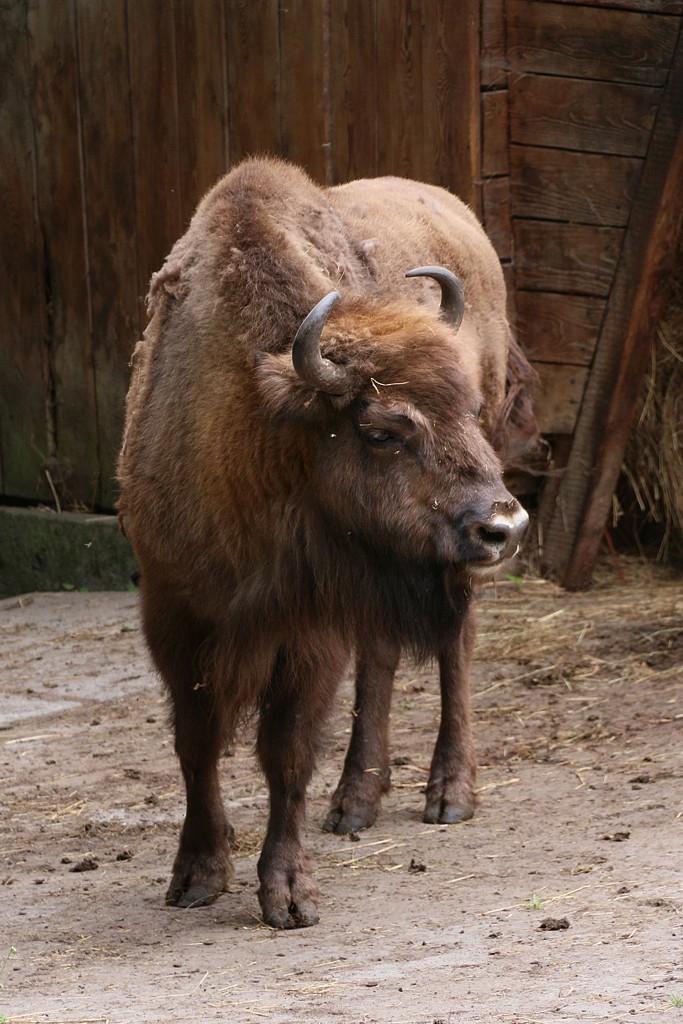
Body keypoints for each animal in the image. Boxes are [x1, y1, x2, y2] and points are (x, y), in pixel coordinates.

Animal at [117, 157, 535, 928]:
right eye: (382, 430)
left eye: (465, 409)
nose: (504, 525)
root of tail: (456, 211)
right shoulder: (173, 611)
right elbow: (195, 740)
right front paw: (196, 874)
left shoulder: (307, 629)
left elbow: (285, 752)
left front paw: (288, 894)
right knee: (382, 658)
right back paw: (354, 801)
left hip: (444, 570)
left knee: (454, 646)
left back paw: (449, 793)